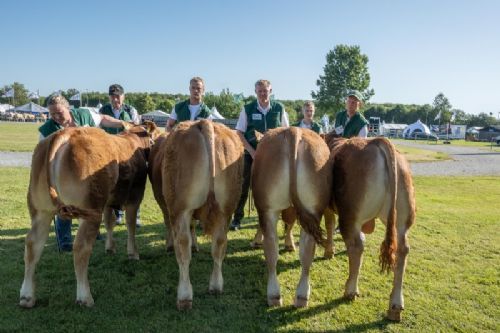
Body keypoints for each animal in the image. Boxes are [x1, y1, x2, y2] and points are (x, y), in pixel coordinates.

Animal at [19, 123, 160, 308]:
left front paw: (110, 248)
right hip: (89, 210)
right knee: (80, 247)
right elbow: (130, 225)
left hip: (41, 210)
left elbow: (109, 222)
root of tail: (67, 133)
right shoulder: (134, 197)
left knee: (33, 244)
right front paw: (133, 253)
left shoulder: (107, 203)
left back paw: (27, 296)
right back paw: (84, 296)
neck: (133, 139)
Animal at [156, 118, 242, 308]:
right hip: (226, 208)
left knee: (183, 247)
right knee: (219, 244)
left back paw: (184, 295)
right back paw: (216, 286)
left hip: (180, 208)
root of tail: (204, 123)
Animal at [252, 126, 330, 306]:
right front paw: (290, 244)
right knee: (307, 250)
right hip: (313, 209)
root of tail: (294, 131)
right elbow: (289, 223)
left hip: (268, 209)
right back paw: (302, 295)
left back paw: (274, 295)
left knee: (271, 248)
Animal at [330, 136, 416, 320]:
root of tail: (377, 141)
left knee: (356, 246)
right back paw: (395, 305)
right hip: (402, 219)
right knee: (402, 250)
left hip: (350, 216)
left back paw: (350, 290)